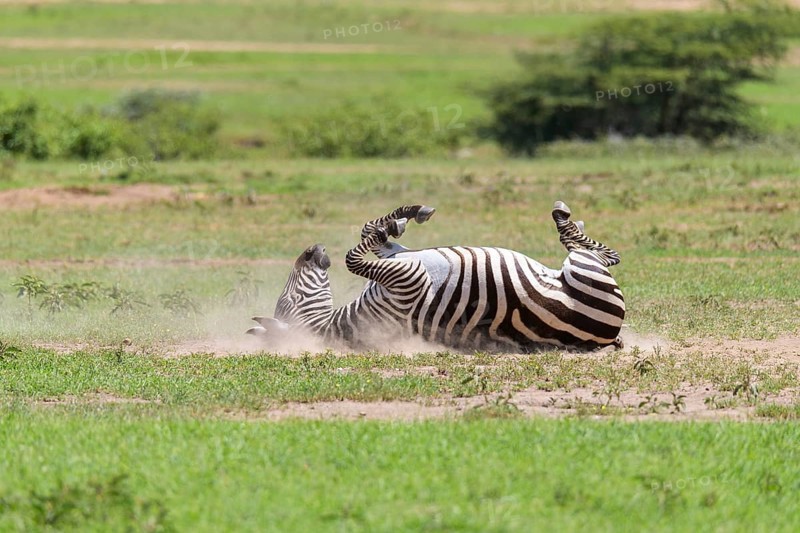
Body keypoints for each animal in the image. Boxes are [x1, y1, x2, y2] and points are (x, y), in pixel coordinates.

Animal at [248, 201, 625, 351]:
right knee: (599, 253)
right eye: (290, 298)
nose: (311, 249)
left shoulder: (400, 261)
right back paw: (564, 216)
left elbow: (370, 231)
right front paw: (395, 222)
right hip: (584, 269)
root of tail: (607, 337)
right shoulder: (408, 277)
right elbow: (353, 257)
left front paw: (401, 218)